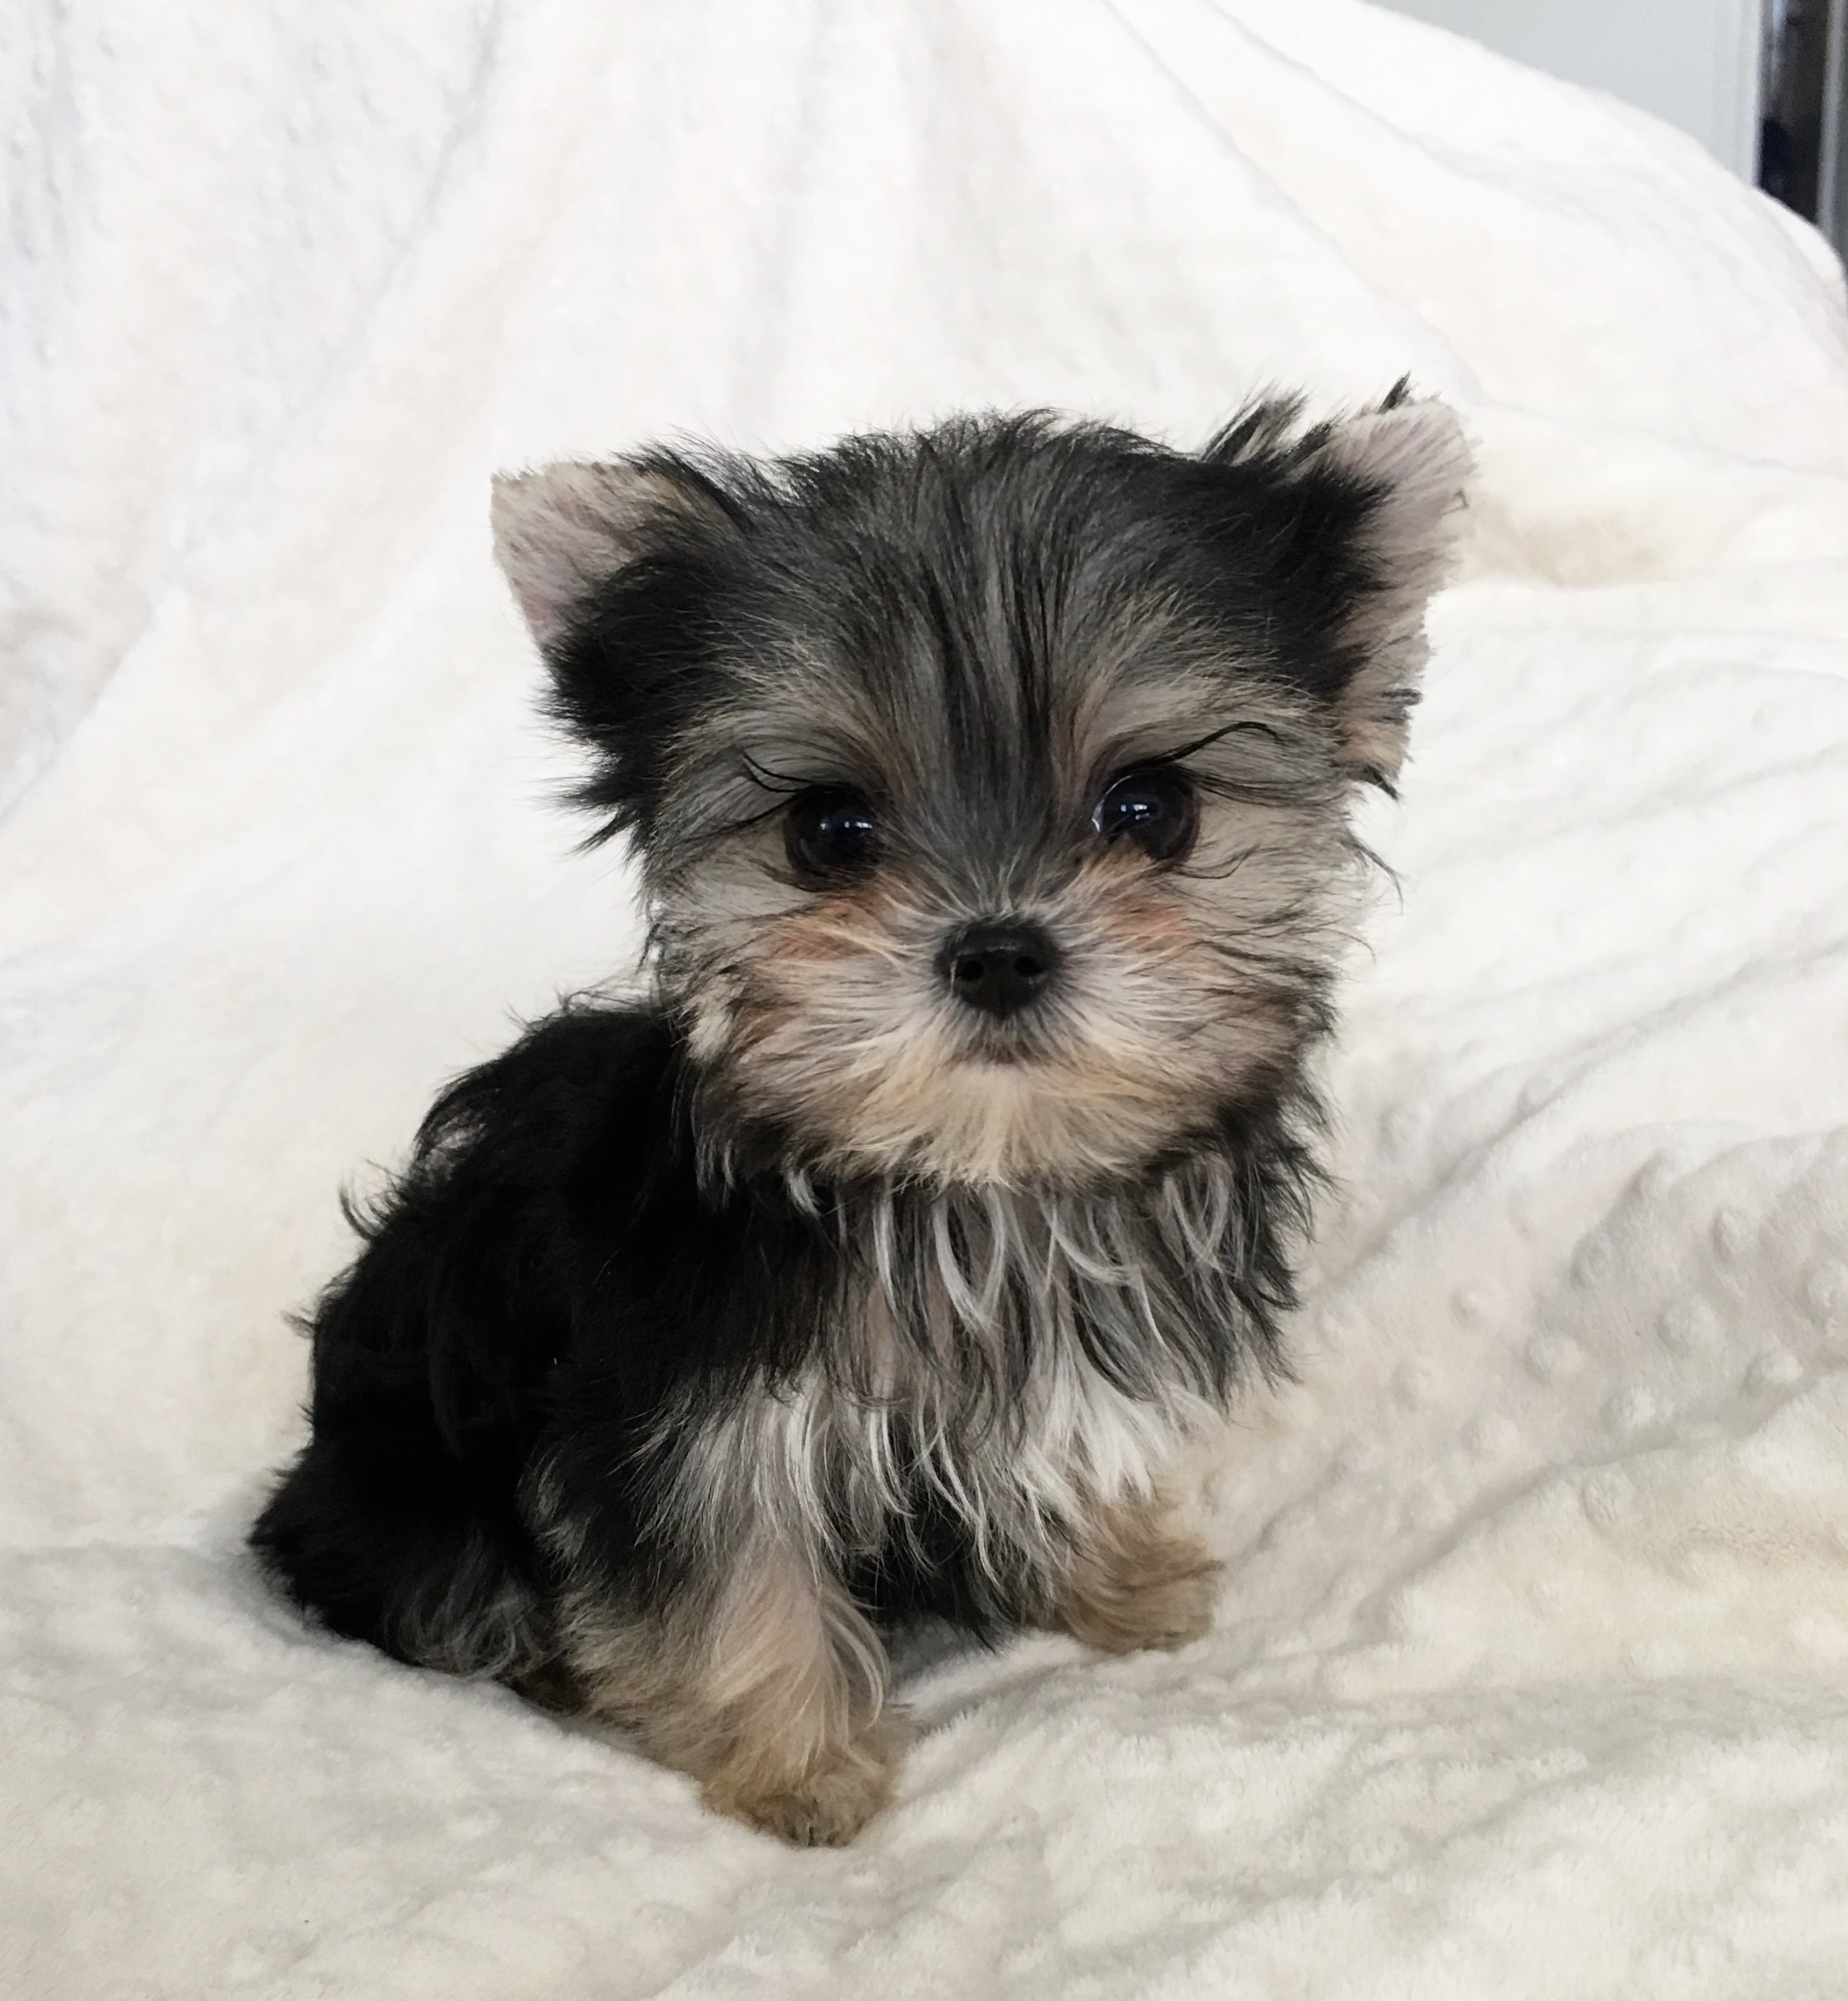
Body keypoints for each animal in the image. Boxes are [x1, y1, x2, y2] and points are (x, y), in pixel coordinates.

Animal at [249, 386, 1457, 1841]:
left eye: (1152, 808)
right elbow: (733, 1572)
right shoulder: (678, 1417)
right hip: (406, 1487)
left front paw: (1119, 1579)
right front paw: (798, 1769)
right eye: (825, 831)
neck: (977, 1186)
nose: (997, 950)